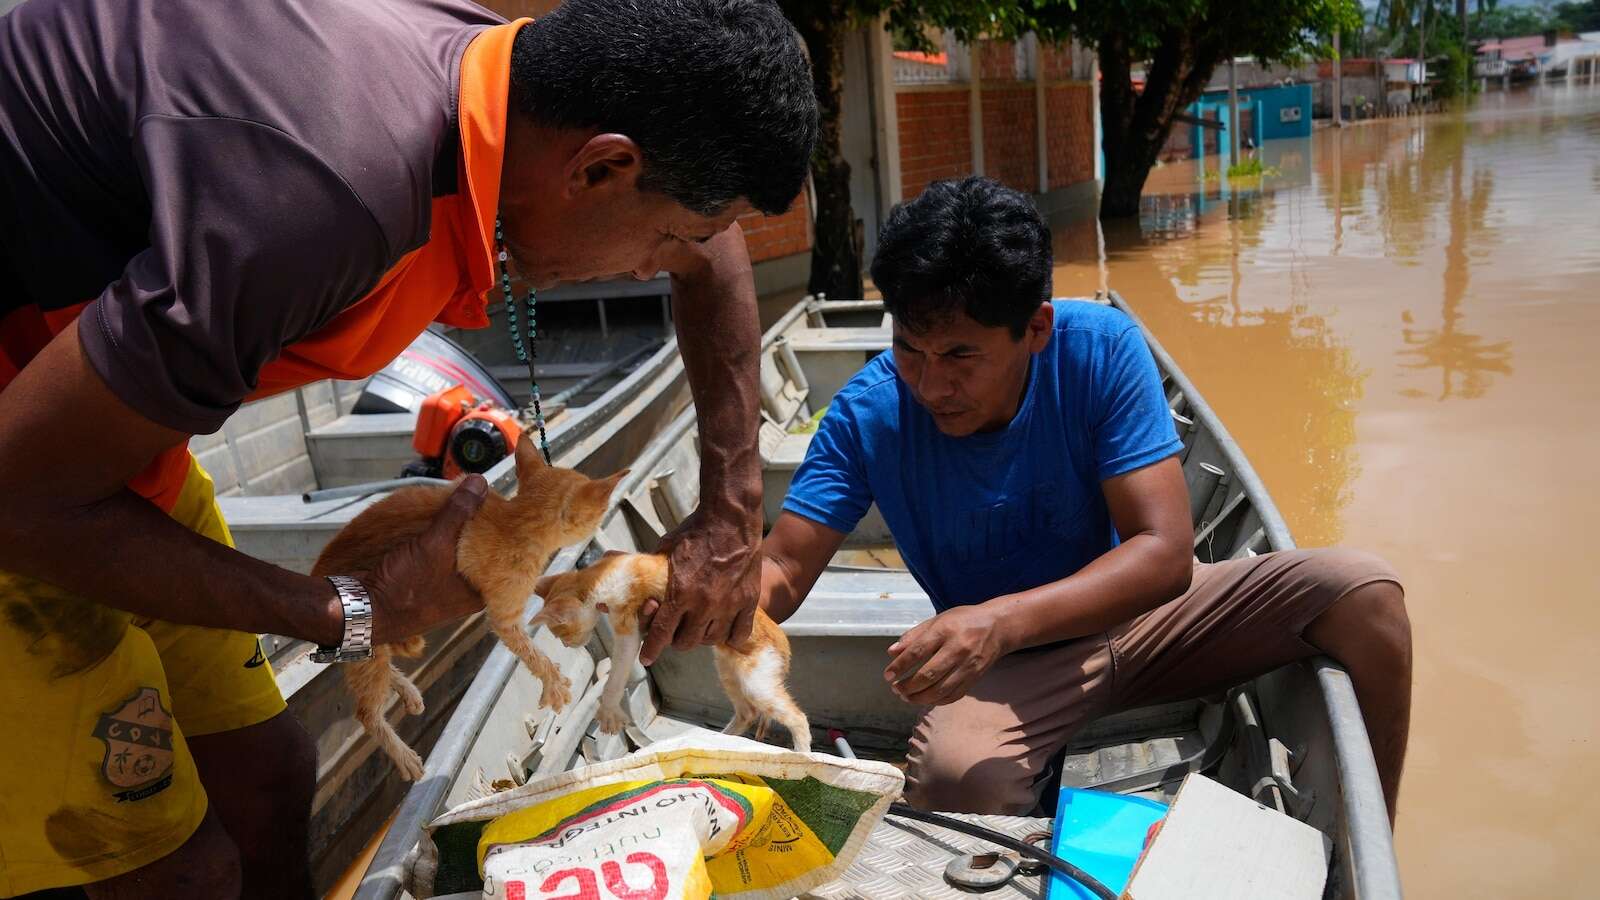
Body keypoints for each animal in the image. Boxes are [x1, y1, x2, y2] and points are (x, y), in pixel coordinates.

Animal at [310, 435, 624, 778]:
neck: (518, 521)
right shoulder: (504, 613)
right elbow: (530, 651)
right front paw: (552, 681)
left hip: (369, 635)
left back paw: (407, 690)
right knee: (366, 711)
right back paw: (405, 757)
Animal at [537, 554, 812, 749]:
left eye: (560, 634)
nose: (565, 646)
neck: (598, 575)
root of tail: (783, 643)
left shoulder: (626, 624)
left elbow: (616, 676)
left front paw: (607, 710)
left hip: (757, 680)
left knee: (797, 717)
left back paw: (804, 757)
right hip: (729, 670)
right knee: (748, 713)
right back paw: (714, 741)